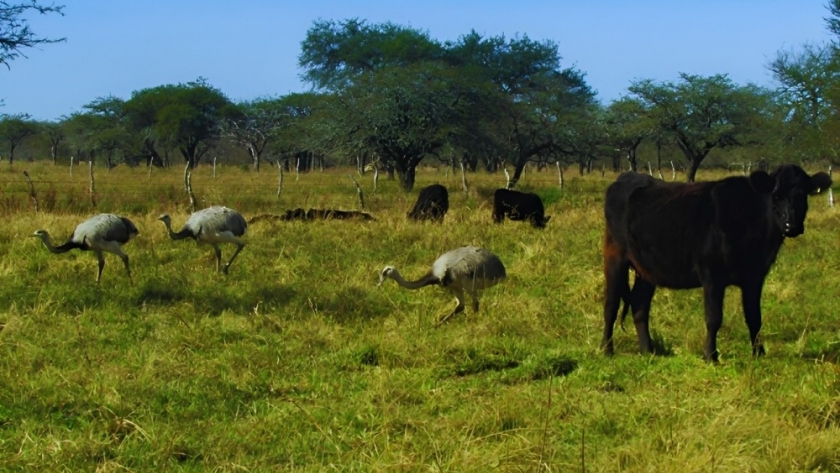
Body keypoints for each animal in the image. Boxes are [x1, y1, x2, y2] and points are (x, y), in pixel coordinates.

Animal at [600, 164, 832, 360]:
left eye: (803, 196)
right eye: (776, 196)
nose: (791, 226)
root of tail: (628, 176)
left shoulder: (755, 277)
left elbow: (754, 316)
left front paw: (759, 353)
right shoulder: (711, 275)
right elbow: (714, 318)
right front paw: (710, 356)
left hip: (647, 268)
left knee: (640, 304)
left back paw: (648, 351)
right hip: (615, 256)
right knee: (611, 304)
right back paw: (606, 349)